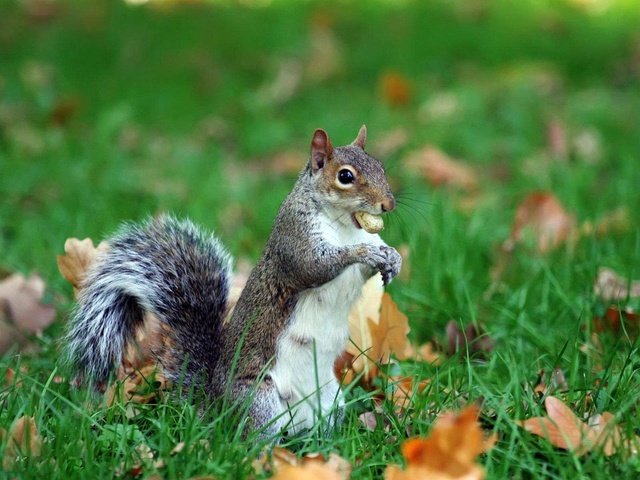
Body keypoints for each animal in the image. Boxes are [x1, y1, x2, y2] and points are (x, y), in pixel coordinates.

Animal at [67, 125, 402, 436]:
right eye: (345, 176)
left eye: (381, 166)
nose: (388, 205)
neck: (346, 225)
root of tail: (215, 406)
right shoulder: (294, 238)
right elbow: (314, 266)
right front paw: (364, 252)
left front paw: (392, 258)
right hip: (259, 401)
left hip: (331, 399)